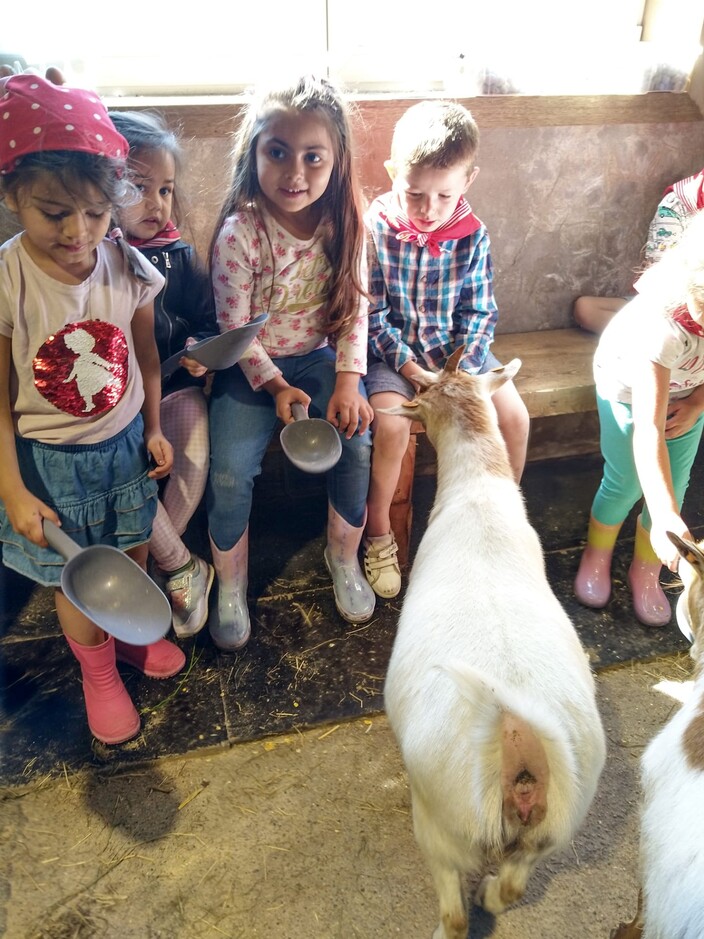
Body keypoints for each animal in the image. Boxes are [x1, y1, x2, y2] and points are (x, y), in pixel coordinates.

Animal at [382, 350, 608, 939]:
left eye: (424, 400)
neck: (478, 486)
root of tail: (521, 744)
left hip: (440, 824)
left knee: (456, 914)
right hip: (548, 834)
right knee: (513, 886)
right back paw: (492, 893)